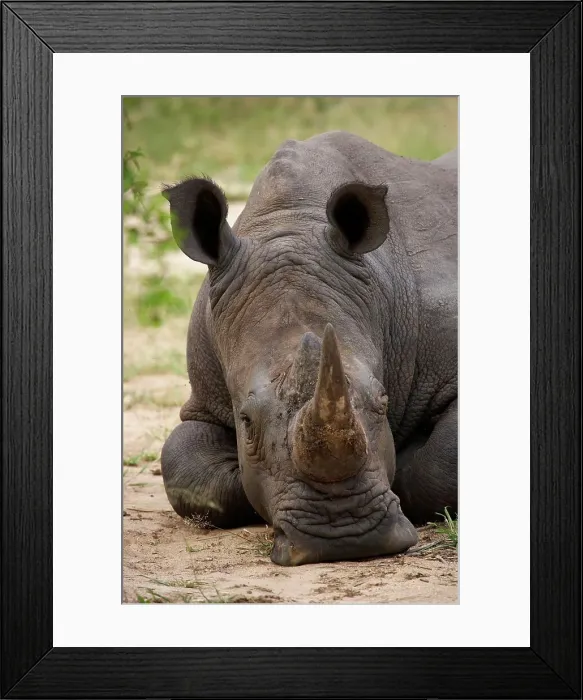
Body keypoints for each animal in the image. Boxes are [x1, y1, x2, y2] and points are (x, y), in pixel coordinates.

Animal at [161, 131, 457, 566]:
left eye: (383, 402)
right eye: (245, 420)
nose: (346, 535)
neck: (291, 223)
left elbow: (442, 461)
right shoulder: (205, 395)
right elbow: (183, 465)